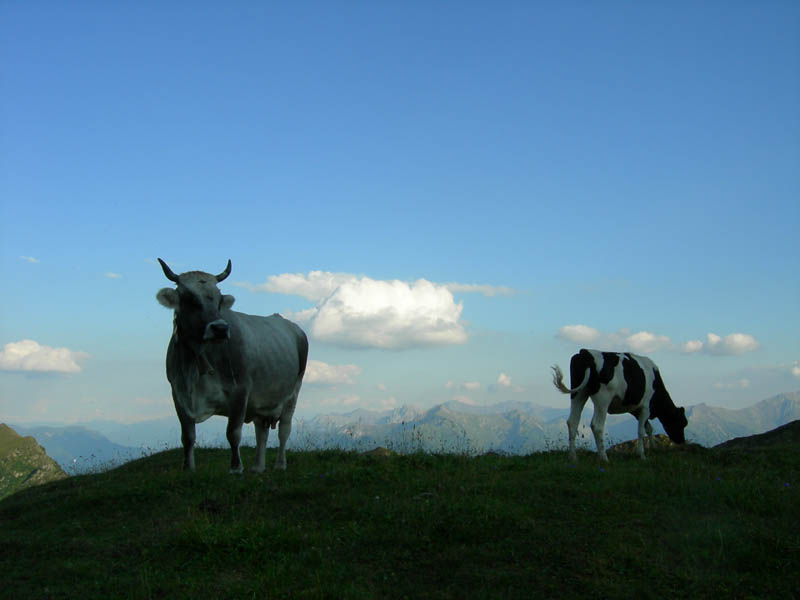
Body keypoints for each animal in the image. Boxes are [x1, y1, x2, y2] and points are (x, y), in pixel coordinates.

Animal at [157, 258, 310, 474]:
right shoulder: (178, 393)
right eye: (190, 298)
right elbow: (187, 436)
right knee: (261, 430)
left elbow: (233, 433)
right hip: (261, 399)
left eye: (219, 299)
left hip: (292, 393)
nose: (220, 329)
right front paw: (187, 468)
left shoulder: (240, 390)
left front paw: (236, 468)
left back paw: (280, 464)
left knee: (284, 429)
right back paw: (257, 467)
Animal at [552, 350, 688, 462]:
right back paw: (604, 458)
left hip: (578, 394)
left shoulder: (636, 409)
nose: (682, 441)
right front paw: (642, 455)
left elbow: (648, 428)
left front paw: (654, 448)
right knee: (597, 425)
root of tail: (585, 352)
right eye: (682, 423)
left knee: (572, 422)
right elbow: (641, 431)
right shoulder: (646, 407)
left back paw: (573, 457)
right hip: (603, 398)